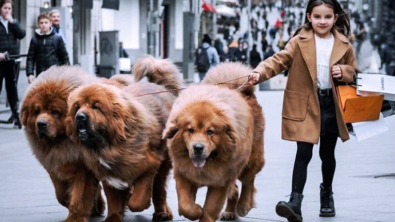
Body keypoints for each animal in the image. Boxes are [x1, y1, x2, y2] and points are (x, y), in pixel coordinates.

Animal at [20, 67, 105, 222]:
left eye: (55, 112)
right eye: (37, 111)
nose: (41, 124)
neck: (63, 144)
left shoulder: (84, 169)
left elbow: (80, 195)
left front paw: (75, 217)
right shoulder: (54, 166)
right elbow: (61, 194)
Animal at [66, 56, 184, 222]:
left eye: (95, 107)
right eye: (77, 107)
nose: (80, 117)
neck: (110, 145)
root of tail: (164, 88)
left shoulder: (150, 164)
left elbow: (138, 200)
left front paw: (132, 201)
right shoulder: (109, 176)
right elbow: (114, 201)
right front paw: (114, 217)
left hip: (163, 164)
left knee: (159, 189)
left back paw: (161, 213)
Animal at [164, 62, 266, 222]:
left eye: (210, 132)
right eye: (190, 130)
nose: (198, 147)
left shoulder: (221, 180)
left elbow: (210, 209)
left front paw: (203, 213)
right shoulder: (183, 173)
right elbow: (185, 205)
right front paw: (196, 210)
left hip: (250, 160)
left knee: (248, 181)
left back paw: (243, 206)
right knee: (235, 189)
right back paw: (230, 212)